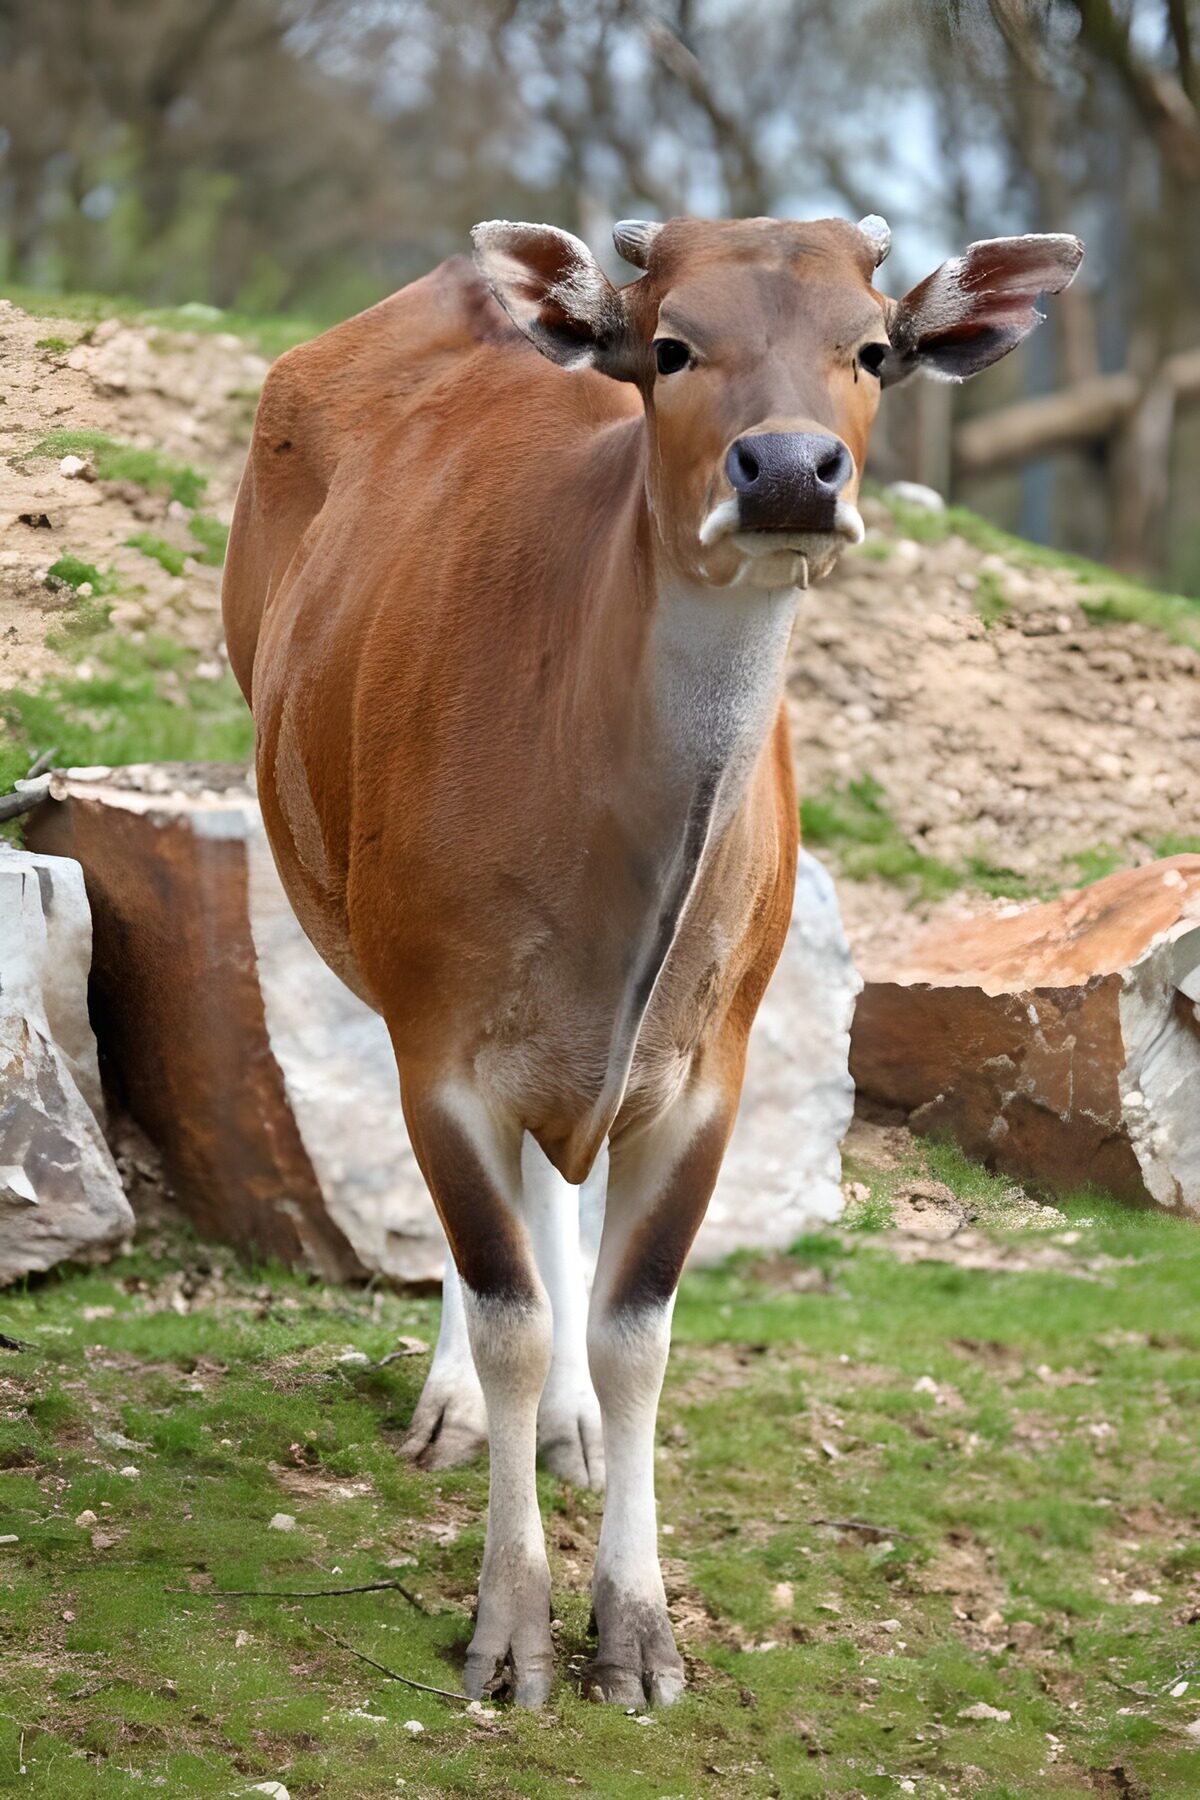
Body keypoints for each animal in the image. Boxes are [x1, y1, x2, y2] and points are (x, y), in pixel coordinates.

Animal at [222, 213, 1082, 1708]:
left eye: (872, 350)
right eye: (673, 347)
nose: (791, 470)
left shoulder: (705, 1073)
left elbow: (637, 1330)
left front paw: (635, 1629)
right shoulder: (440, 1038)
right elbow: (505, 1303)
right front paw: (512, 1628)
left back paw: (563, 1427)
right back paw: (459, 1407)